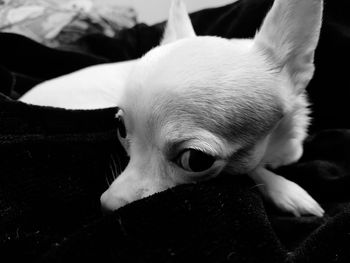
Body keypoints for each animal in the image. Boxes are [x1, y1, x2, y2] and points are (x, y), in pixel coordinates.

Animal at [20, 0, 324, 219]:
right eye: (121, 129)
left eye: (196, 160)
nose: (108, 204)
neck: (275, 145)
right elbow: (249, 169)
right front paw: (285, 190)